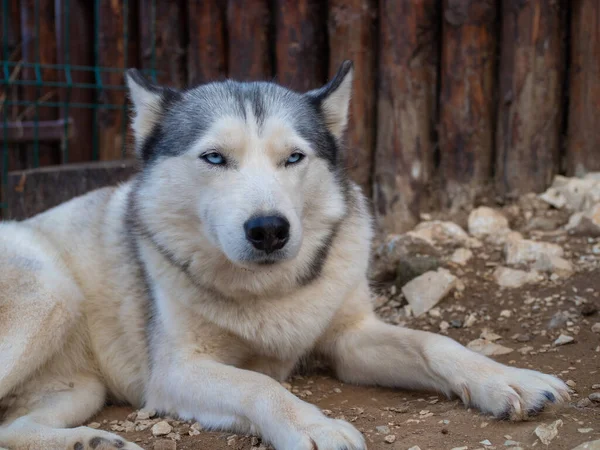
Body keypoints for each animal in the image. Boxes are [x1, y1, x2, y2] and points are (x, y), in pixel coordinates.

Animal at [0, 62, 568, 450]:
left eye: (293, 157)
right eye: (214, 158)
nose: (269, 229)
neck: (267, 292)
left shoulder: (350, 339)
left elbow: (435, 344)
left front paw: (506, 379)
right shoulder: (177, 372)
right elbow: (258, 385)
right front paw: (313, 425)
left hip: (80, 389)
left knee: (11, 428)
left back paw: (89, 442)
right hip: (52, 295)